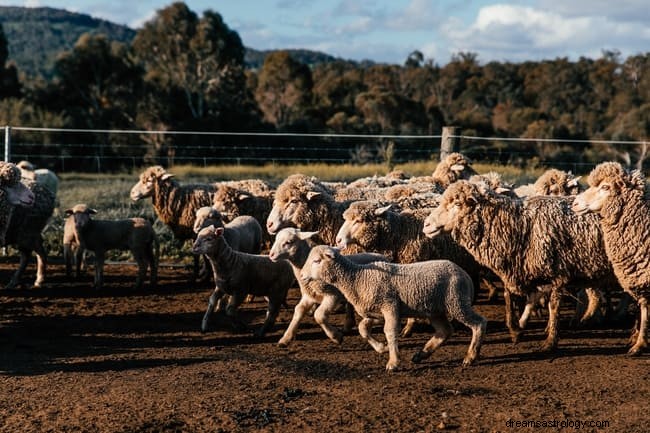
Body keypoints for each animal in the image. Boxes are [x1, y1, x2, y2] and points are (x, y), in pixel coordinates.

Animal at [302, 245, 484, 370]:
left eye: (317, 261)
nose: (302, 276)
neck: (357, 278)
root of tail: (464, 273)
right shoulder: (374, 311)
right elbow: (362, 329)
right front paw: (381, 348)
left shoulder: (390, 305)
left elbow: (390, 332)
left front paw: (393, 362)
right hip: (436, 310)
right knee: (444, 331)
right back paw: (422, 354)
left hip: (457, 302)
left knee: (478, 323)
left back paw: (470, 356)